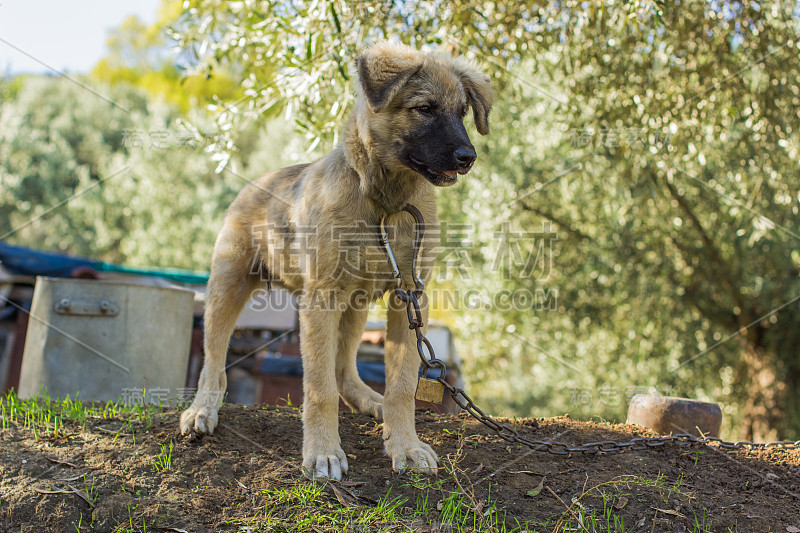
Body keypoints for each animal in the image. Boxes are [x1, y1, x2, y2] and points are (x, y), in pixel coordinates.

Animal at [181, 39, 490, 476]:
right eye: (425, 108)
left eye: (462, 112)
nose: (468, 157)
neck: (385, 202)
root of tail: (256, 182)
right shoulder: (321, 301)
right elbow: (318, 388)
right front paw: (323, 452)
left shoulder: (409, 296)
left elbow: (400, 384)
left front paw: (406, 446)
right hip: (227, 287)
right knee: (214, 359)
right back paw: (201, 411)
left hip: (355, 304)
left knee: (345, 369)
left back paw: (373, 403)